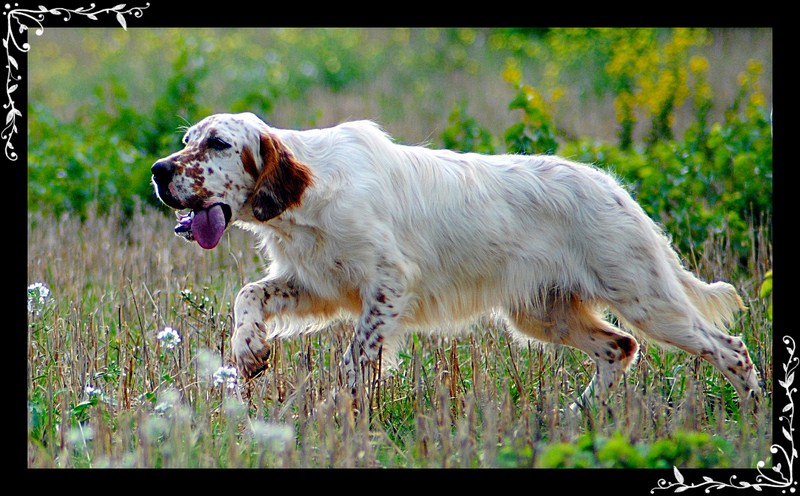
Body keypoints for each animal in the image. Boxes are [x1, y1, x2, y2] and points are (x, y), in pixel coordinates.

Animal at [152, 112, 764, 410]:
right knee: (620, 347)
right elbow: (248, 295)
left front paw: (327, 415)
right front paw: (249, 350)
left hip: (645, 296)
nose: (159, 171)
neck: (311, 192)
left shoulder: (388, 287)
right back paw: (576, 415)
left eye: (217, 144)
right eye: (187, 140)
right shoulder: (315, 283)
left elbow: (353, 362)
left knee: (727, 347)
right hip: (542, 314)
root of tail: (618, 190)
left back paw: (754, 419)